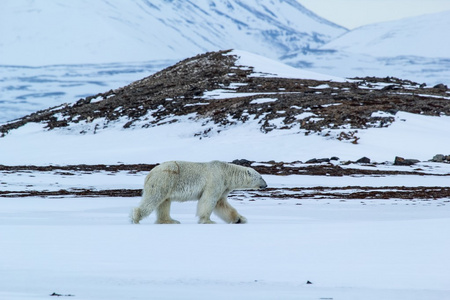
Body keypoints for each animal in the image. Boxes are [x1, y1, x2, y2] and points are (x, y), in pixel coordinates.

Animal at [129, 161, 268, 224]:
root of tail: (150, 174)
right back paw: (135, 218)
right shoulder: (215, 180)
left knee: (164, 203)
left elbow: (221, 204)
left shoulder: (223, 187)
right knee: (154, 198)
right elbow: (208, 200)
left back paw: (170, 221)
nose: (266, 185)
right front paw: (208, 221)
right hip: (164, 180)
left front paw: (239, 219)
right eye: (261, 177)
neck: (226, 172)